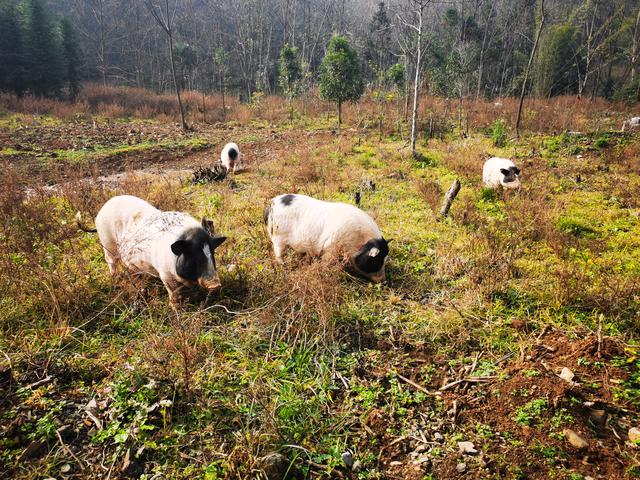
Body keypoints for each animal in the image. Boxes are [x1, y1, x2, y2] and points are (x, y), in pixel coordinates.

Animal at [78, 194, 228, 304]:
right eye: (192, 255)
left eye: (212, 253)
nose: (215, 285)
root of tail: (102, 209)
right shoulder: (165, 274)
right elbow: (173, 293)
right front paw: (176, 308)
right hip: (107, 241)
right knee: (111, 261)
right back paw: (115, 278)